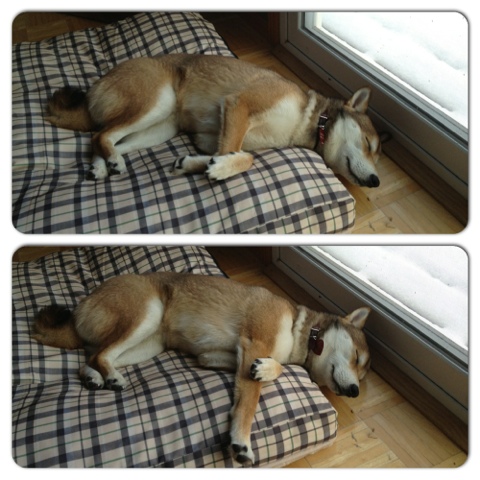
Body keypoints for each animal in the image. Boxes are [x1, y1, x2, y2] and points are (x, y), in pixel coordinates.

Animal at [33, 271, 371, 466]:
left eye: (362, 373)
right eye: (357, 358)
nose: (355, 391)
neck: (302, 330)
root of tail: (80, 307)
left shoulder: (217, 356)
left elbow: (270, 370)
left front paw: (268, 369)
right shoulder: (255, 344)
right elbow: (249, 405)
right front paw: (241, 441)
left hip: (149, 344)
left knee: (92, 356)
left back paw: (94, 377)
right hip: (146, 314)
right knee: (102, 353)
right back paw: (110, 377)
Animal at [46, 53, 381, 187]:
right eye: (368, 144)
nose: (377, 181)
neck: (309, 117)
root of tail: (96, 87)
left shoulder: (211, 136)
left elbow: (232, 152)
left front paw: (196, 164)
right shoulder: (238, 105)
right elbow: (243, 157)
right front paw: (218, 169)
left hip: (161, 128)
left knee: (107, 138)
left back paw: (103, 166)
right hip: (157, 102)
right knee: (101, 134)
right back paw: (109, 161)